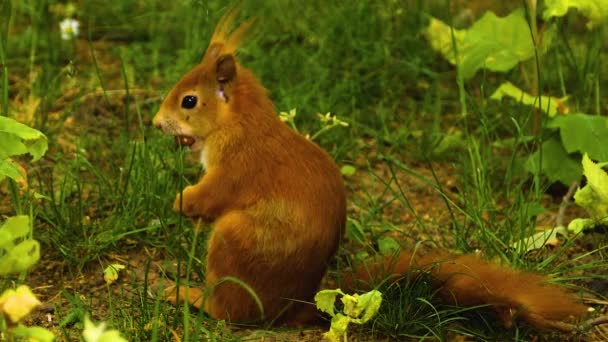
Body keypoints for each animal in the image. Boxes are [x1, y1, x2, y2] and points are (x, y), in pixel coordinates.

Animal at [153, 8, 588, 332]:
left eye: (189, 101)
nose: (157, 124)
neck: (239, 122)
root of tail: (293, 307)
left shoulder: (238, 165)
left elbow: (213, 195)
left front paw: (181, 202)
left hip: (233, 244)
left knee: (229, 314)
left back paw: (188, 296)